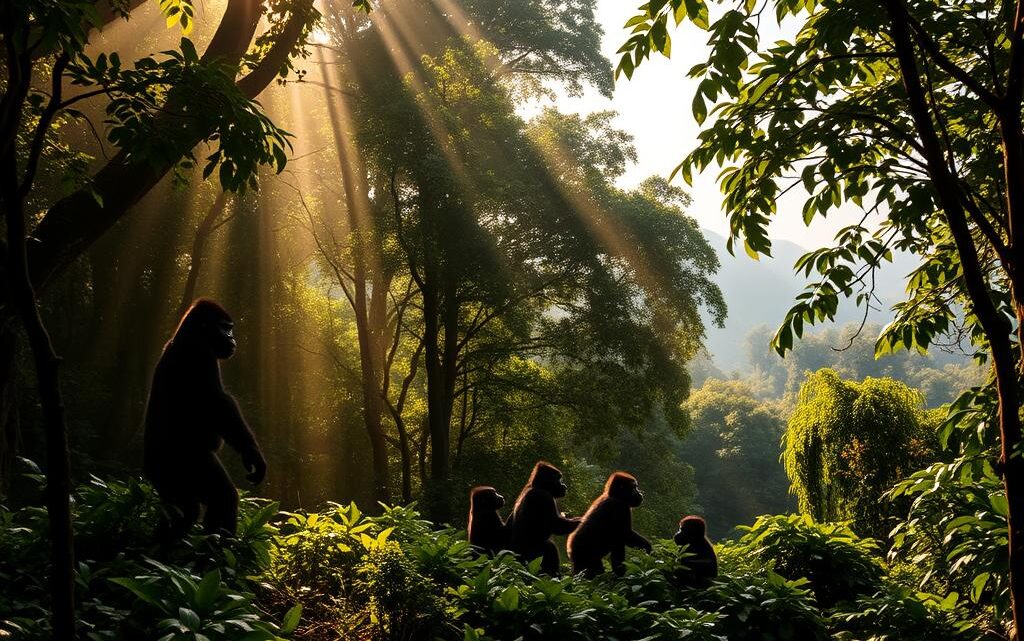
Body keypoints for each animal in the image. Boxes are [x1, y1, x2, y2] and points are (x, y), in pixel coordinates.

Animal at [143, 298, 266, 539]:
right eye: (225, 328)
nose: (232, 338)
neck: (187, 335)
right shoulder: (202, 353)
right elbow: (220, 404)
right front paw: (252, 453)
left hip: (166, 478)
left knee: (182, 510)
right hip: (185, 461)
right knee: (221, 498)